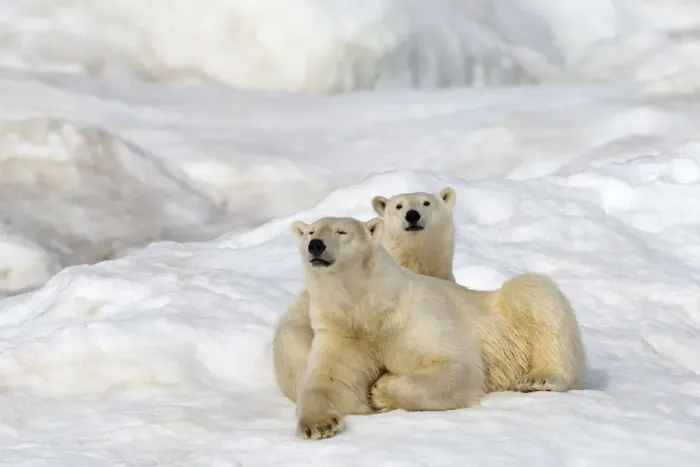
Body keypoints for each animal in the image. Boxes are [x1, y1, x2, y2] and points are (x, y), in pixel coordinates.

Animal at [289, 216, 485, 440]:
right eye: (311, 232)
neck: (370, 311)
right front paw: (319, 425)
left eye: (342, 231)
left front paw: (380, 390)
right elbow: (329, 380)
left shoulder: (408, 321)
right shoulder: (341, 333)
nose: (316, 246)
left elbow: (455, 365)